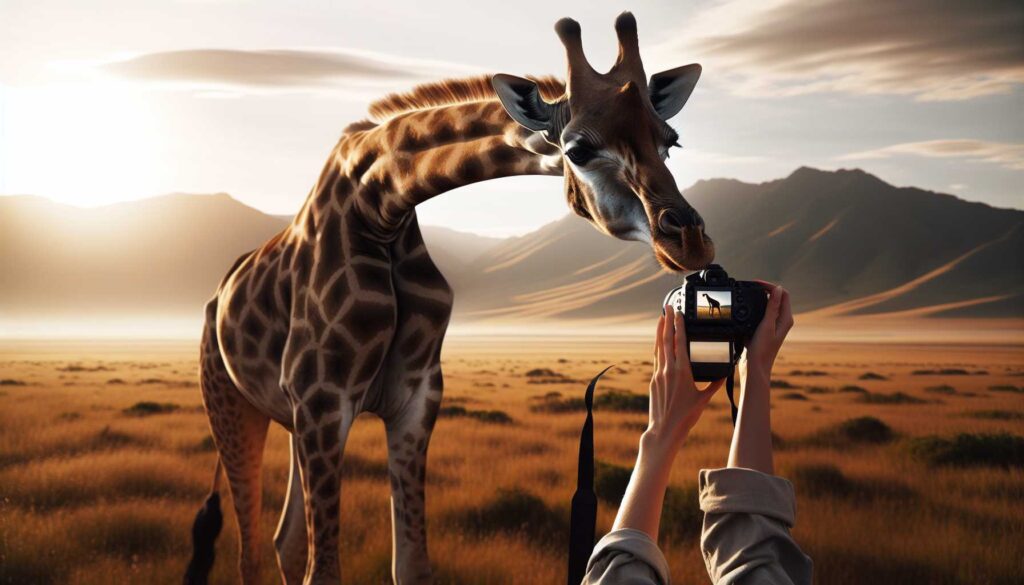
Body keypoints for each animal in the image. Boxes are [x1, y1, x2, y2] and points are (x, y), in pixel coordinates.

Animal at [186, 12, 714, 585]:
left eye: (671, 140)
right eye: (578, 149)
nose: (690, 240)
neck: (381, 206)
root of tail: (217, 297)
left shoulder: (413, 400)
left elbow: (412, 565)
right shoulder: (322, 400)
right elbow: (323, 570)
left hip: (288, 419)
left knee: (283, 539)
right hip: (232, 403)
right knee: (252, 546)